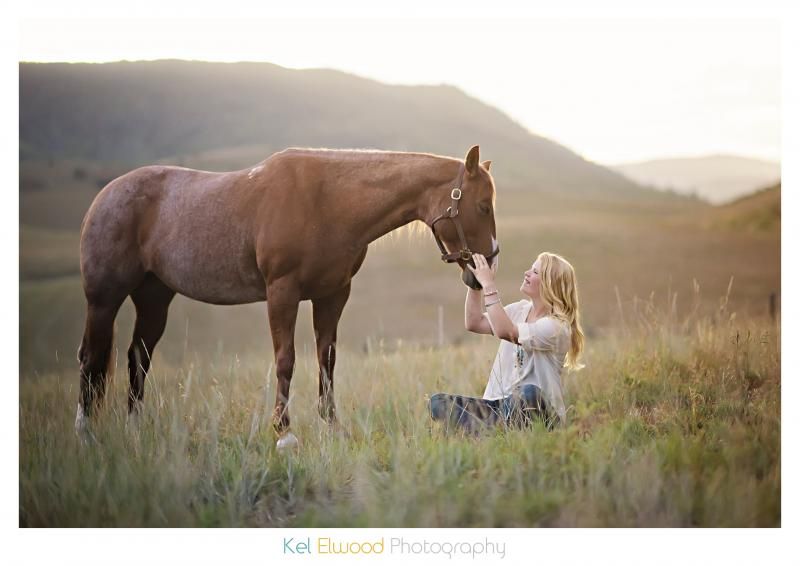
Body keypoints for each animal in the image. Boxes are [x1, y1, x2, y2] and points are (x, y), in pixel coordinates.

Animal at [76, 145, 500, 448]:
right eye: (482, 206)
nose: (488, 265)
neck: (328, 200)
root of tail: (105, 196)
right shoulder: (282, 292)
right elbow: (286, 360)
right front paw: (284, 432)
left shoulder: (333, 295)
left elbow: (326, 361)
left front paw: (332, 428)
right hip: (103, 301)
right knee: (90, 358)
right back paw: (86, 434)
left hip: (154, 297)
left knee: (138, 357)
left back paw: (134, 429)